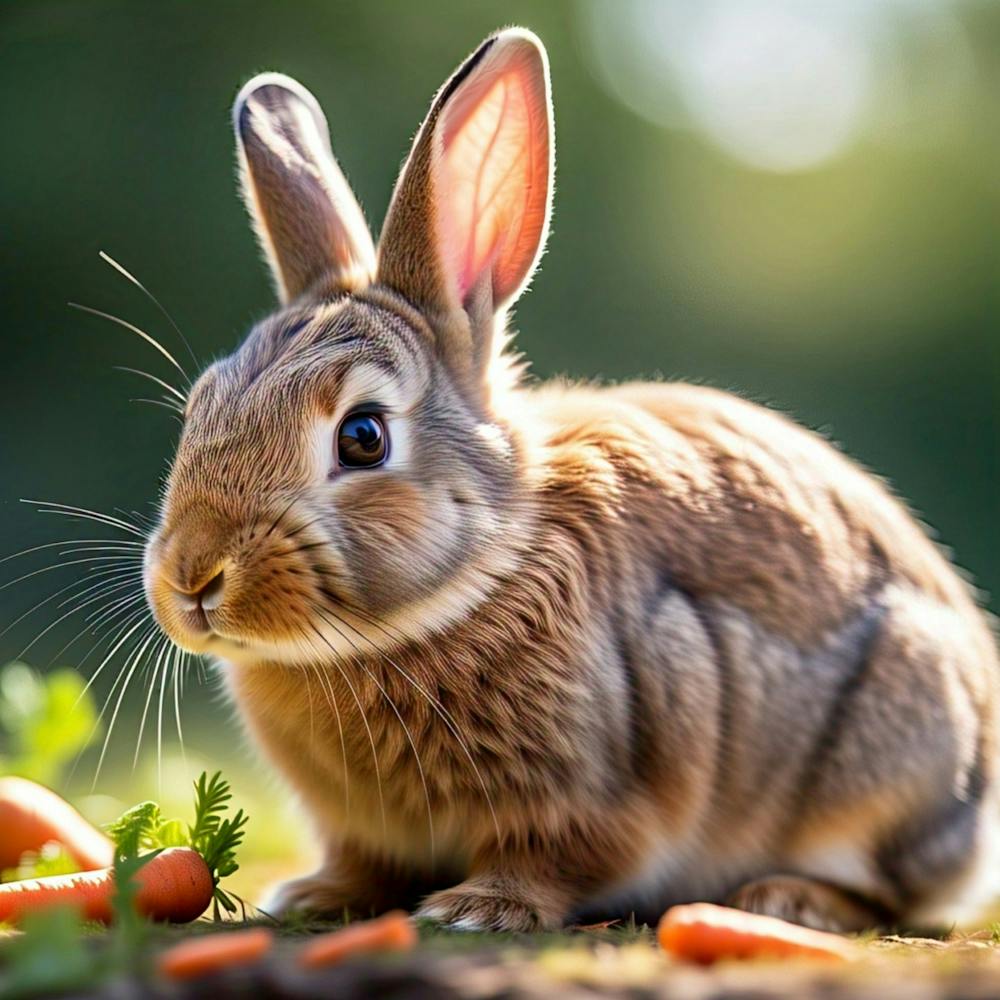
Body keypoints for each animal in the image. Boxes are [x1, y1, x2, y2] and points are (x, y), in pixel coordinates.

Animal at [143, 27, 1000, 933]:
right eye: (199, 405)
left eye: (363, 437)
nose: (192, 576)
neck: (476, 578)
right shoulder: (362, 828)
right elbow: (362, 863)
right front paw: (312, 896)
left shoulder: (597, 790)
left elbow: (553, 858)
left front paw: (476, 909)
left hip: (895, 752)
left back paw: (787, 898)